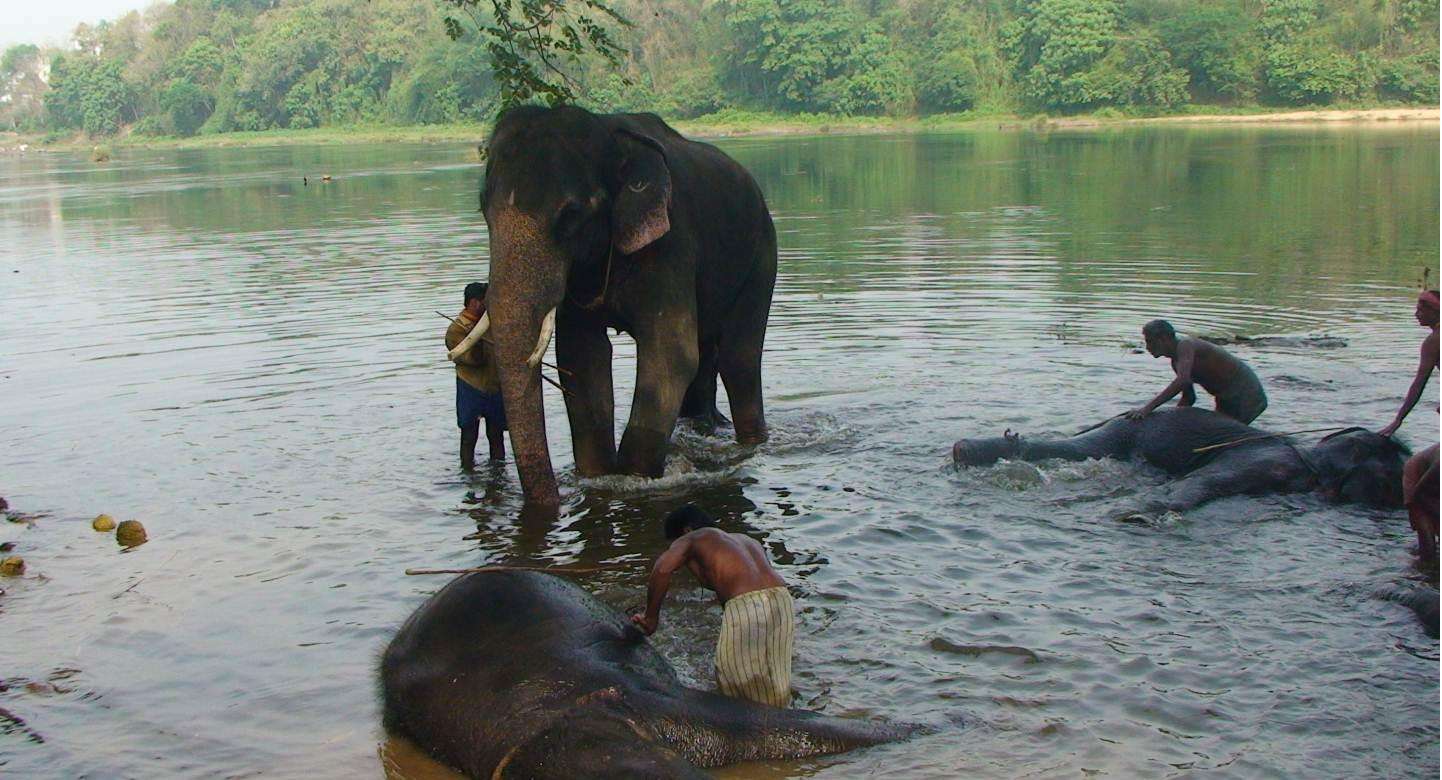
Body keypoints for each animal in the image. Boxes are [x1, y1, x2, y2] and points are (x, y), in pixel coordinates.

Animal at [472, 105, 777, 509]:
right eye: (483, 212)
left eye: (570, 215)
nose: (556, 500)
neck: (607, 135)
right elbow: (582, 357)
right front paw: (597, 476)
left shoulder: (671, 243)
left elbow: (670, 354)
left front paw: (632, 479)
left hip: (762, 257)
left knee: (738, 358)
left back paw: (750, 442)